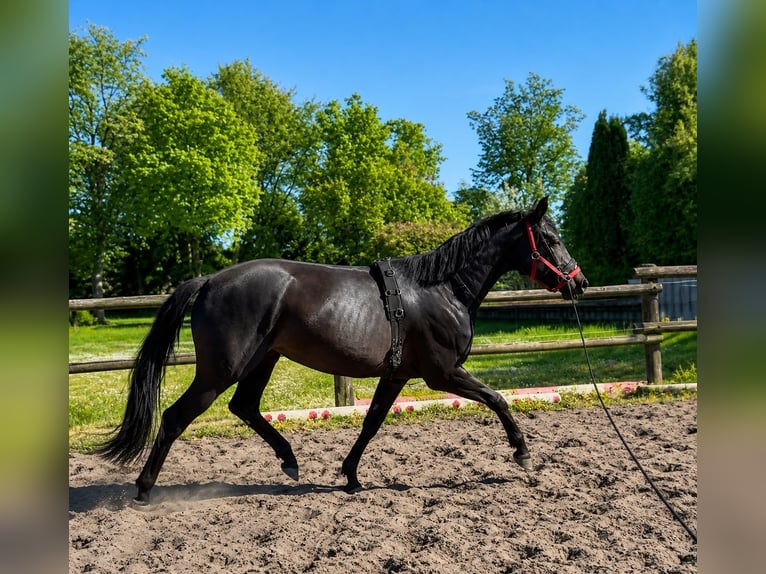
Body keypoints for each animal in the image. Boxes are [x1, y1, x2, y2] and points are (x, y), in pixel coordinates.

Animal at [97, 196, 588, 504]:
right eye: (550, 239)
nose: (579, 282)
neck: (442, 289)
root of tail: (210, 281)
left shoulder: (397, 375)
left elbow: (371, 423)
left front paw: (350, 476)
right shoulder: (442, 374)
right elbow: (499, 399)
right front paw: (522, 453)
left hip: (262, 361)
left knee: (245, 408)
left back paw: (290, 461)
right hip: (220, 370)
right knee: (176, 417)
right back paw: (144, 489)